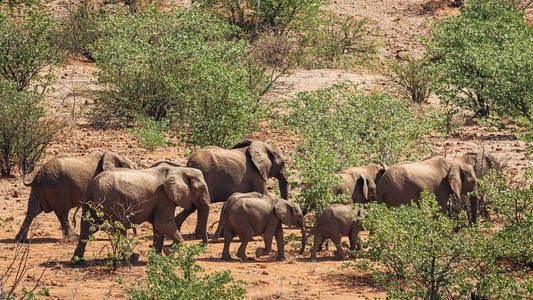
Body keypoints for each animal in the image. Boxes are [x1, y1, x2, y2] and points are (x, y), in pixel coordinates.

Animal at [71, 162, 209, 260]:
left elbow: (158, 227)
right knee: (118, 228)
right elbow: (163, 224)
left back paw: (77, 261)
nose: (203, 245)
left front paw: (158, 258)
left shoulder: (162, 199)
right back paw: (133, 258)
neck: (180, 169)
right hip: (109, 200)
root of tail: (92, 185)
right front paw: (168, 252)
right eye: (202, 188)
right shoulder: (164, 197)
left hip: (93, 203)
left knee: (86, 229)